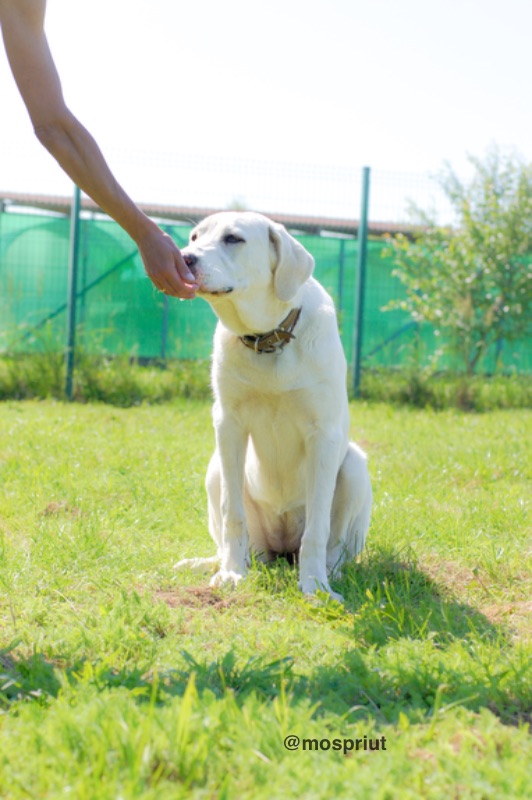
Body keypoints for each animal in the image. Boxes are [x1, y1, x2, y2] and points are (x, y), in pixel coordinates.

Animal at [175, 212, 370, 600]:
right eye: (194, 237)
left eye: (233, 239)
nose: (184, 257)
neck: (269, 340)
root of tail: (280, 549)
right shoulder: (228, 424)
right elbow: (232, 513)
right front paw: (232, 573)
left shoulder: (323, 435)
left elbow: (318, 526)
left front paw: (314, 586)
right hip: (215, 469)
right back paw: (219, 562)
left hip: (355, 467)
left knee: (336, 549)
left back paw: (329, 574)